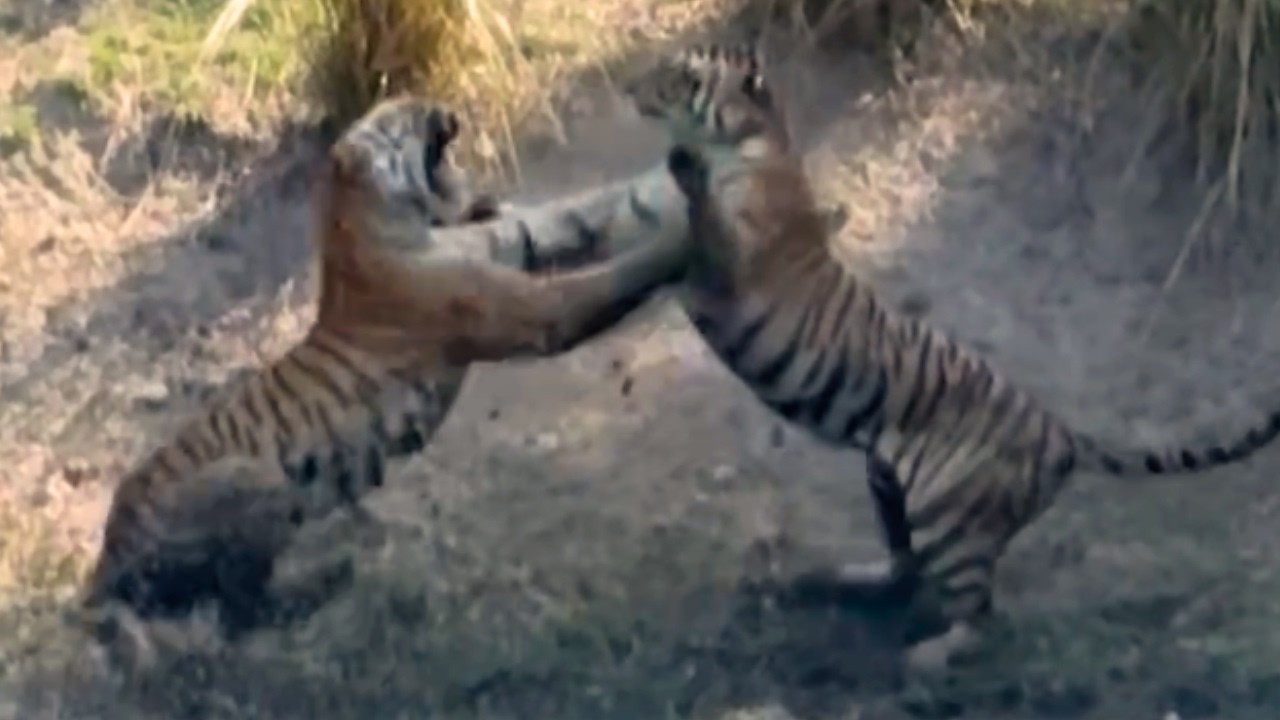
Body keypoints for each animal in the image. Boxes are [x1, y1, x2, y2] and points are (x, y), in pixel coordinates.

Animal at [78, 94, 696, 668]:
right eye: (402, 117)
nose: (446, 107)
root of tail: (106, 554)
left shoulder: (504, 236)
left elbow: (570, 211)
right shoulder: (526, 308)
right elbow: (602, 279)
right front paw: (678, 241)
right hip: (253, 477)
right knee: (243, 608)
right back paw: (329, 580)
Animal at [622, 42, 1280, 674]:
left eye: (682, 74)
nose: (629, 86)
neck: (757, 135)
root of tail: (1062, 432)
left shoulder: (735, 261)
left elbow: (703, 221)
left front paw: (682, 166)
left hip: (948, 512)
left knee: (979, 616)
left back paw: (929, 657)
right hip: (885, 481)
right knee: (902, 567)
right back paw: (835, 578)